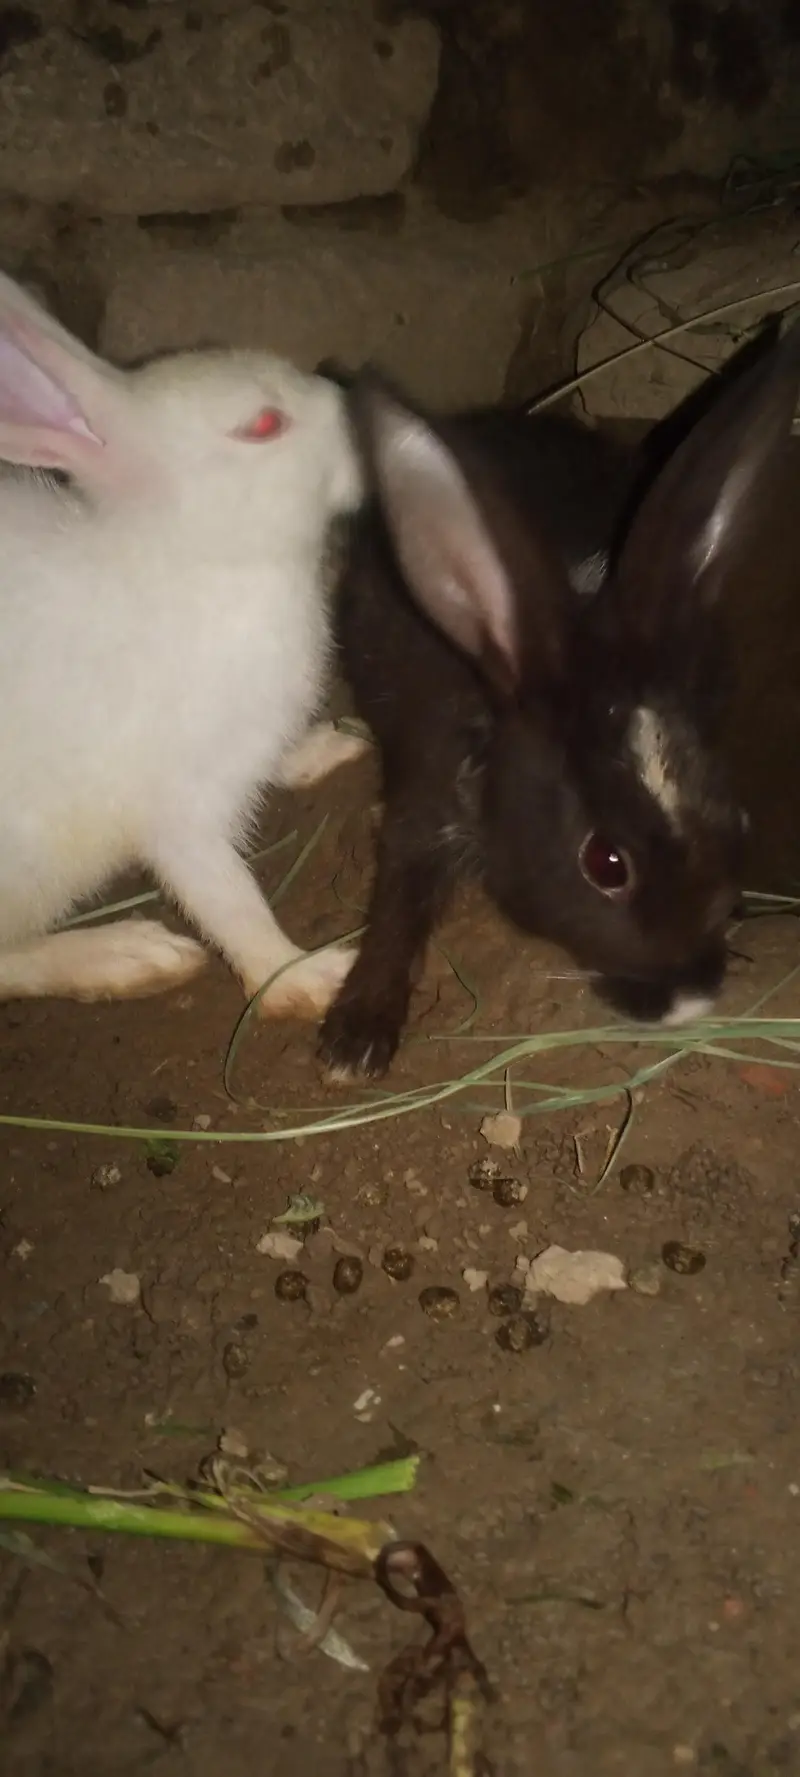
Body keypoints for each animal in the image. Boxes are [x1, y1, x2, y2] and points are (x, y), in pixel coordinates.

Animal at [0, 270, 370, 1013]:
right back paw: (132, 955)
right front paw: (309, 978)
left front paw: (331, 746)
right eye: (263, 424)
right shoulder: (180, 810)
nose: (361, 404)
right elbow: (231, 902)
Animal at [317, 316, 800, 1079]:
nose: (689, 1000)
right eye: (606, 865)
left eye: (737, 821)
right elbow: (397, 900)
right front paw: (354, 1043)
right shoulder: (423, 795)